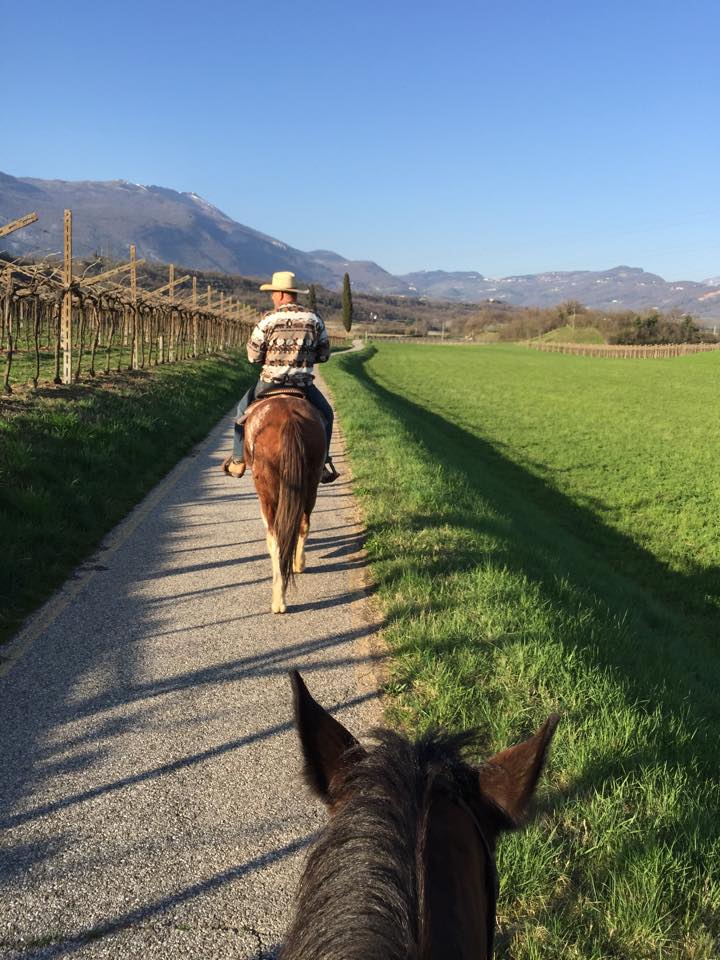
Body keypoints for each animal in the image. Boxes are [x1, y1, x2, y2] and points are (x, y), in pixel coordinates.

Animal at [248, 396, 326, 616]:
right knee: (303, 525)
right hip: (311, 485)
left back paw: (278, 600)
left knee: (275, 539)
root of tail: (289, 419)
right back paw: (299, 563)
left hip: (267, 494)